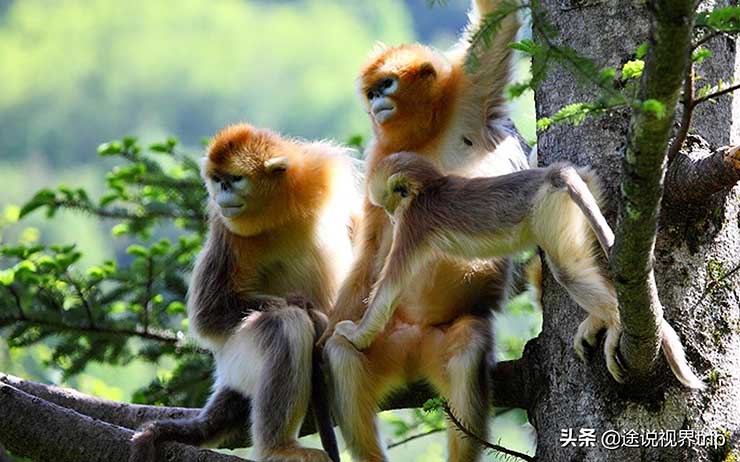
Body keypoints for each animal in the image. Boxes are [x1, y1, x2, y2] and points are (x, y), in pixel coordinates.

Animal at [129, 122, 360, 462]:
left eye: (234, 179)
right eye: (217, 180)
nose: (222, 190)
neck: (281, 211)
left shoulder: (323, 171)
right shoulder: (226, 229)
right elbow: (209, 318)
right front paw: (301, 304)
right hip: (237, 358)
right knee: (283, 325)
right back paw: (278, 448)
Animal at [336, 152, 704, 390]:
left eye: (389, 204)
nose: (390, 216)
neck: (431, 187)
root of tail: (553, 174)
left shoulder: (414, 223)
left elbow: (389, 290)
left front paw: (355, 334)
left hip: (549, 209)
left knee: (567, 271)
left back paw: (613, 323)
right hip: (584, 192)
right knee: (582, 262)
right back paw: (601, 319)